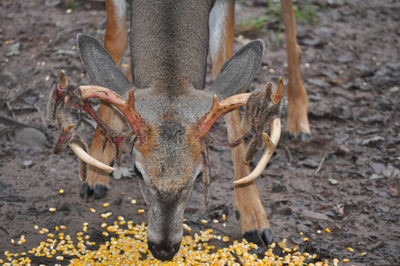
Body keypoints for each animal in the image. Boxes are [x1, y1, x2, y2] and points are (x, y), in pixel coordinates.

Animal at [47, 0, 310, 260]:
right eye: (137, 172)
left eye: (199, 176)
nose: (163, 249)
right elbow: (116, 38)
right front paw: (95, 170)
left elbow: (222, 68)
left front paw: (253, 217)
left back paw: (299, 119)